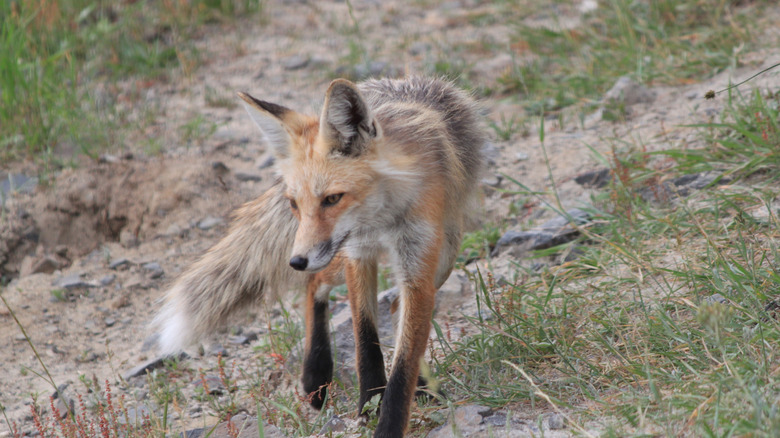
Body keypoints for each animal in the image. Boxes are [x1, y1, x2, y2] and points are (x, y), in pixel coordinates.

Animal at [154, 76, 485, 437]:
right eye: (294, 203)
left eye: (332, 198)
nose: (296, 261)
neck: (381, 219)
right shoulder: (357, 253)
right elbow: (365, 339)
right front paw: (369, 402)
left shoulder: (417, 265)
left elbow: (404, 361)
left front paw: (388, 419)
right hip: (338, 257)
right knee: (315, 284)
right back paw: (316, 372)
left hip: (444, 256)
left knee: (396, 307)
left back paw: (423, 385)